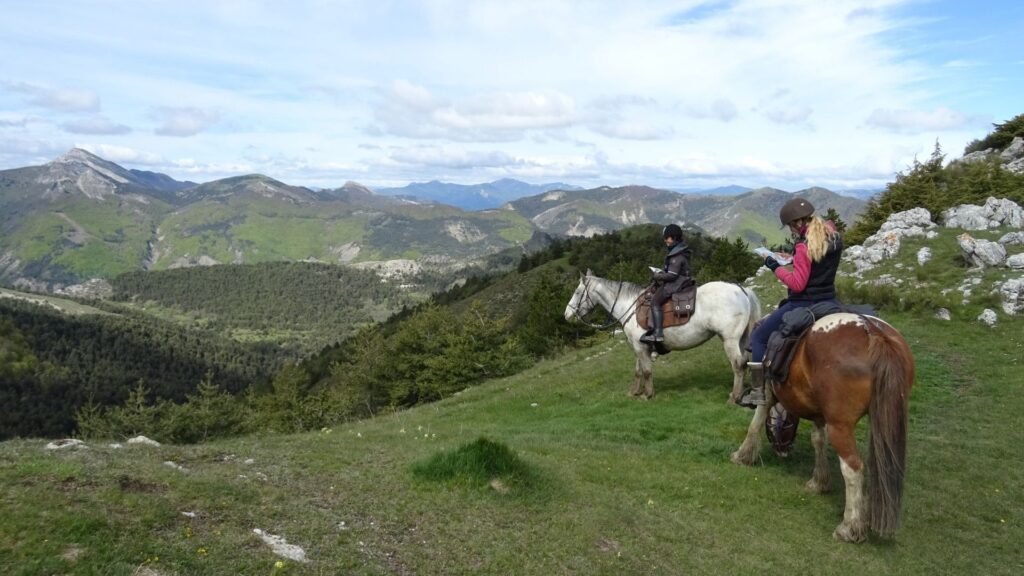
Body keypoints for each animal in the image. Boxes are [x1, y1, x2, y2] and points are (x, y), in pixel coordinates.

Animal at [569, 268, 761, 399]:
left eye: (577, 292)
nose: (567, 314)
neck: (629, 305)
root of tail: (742, 290)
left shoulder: (640, 346)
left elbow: (646, 371)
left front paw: (647, 395)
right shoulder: (639, 347)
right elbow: (638, 370)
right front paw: (634, 392)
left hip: (729, 340)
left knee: (738, 364)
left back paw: (734, 397)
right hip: (741, 339)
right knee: (745, 362)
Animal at [733, 311, 917, 541]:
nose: (782, 451)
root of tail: (874, 333)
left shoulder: (769, 392)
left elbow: (756, 421)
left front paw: (743, 455)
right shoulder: (821, 414)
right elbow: (818, 440)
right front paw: (819, 482)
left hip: (840, 426)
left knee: (853, 468)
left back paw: (849, 526)